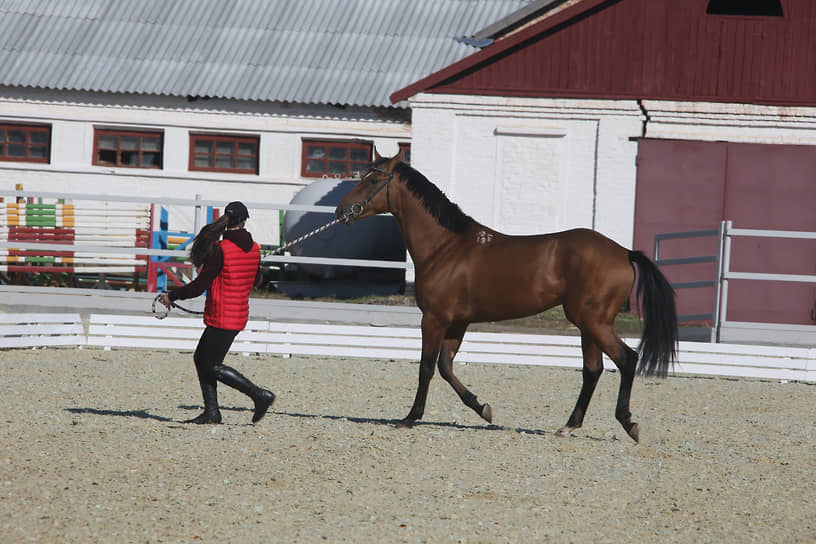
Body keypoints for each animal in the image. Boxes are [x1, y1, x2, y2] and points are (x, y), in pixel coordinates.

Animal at [334, 149, 680, 442]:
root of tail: (623, 252)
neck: (446, 247)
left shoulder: (434, 319)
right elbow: (446, 367)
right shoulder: (457, 323)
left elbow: (426, 367)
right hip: (590, 324)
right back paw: (568, 426)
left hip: (592, 321)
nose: (340, 211)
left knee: (626, 359)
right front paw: (483, 409)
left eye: (373, 180)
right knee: (592, 370)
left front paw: (410, 417)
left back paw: (628, 423)